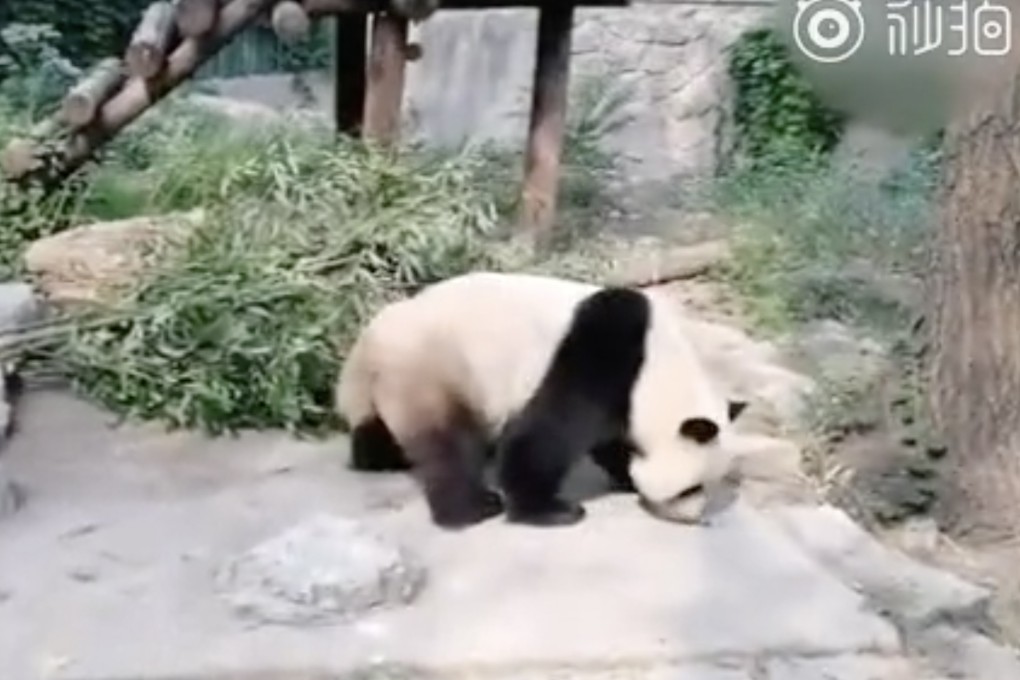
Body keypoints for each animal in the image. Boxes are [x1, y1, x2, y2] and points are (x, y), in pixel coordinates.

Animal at [334, 271, 747, 530]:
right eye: (690, 488)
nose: (696, 517)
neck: (658, 369)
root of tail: (366, 347)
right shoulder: (603, 351)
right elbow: (549, 432)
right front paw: (549, 510)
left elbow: (609, 440)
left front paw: (626, 474)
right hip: (435, 368)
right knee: (447, 445)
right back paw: (472, 508)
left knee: (377, 431)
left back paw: (379, 456)